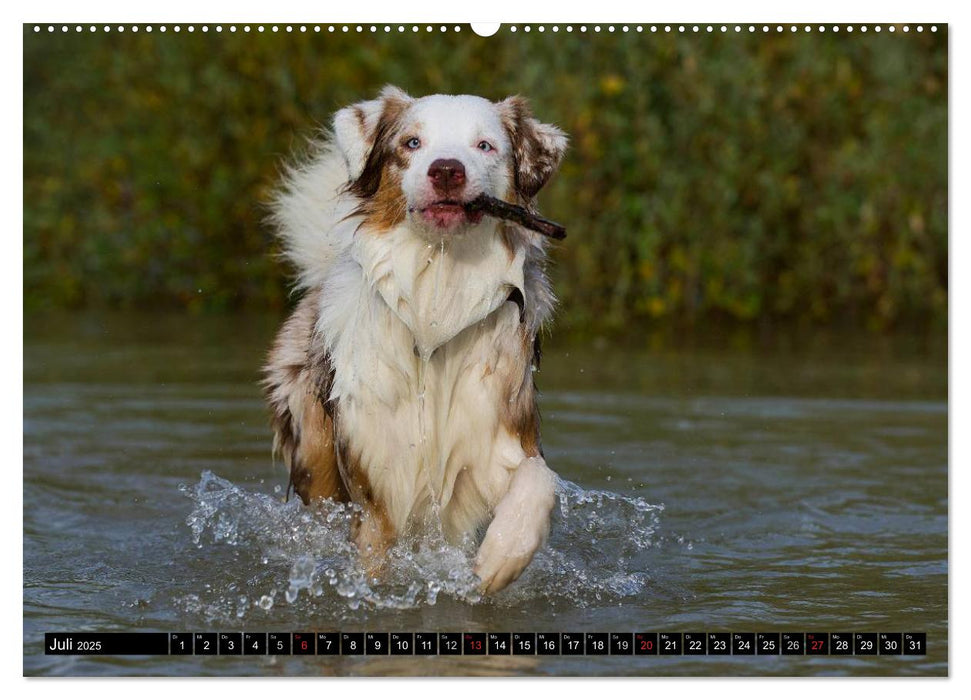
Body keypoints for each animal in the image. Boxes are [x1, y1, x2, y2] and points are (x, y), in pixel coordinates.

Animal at [264, 85, 568, 592]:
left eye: (485, 146)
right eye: (411, 143)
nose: (446, 169)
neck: (436, 295)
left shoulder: (502, 425)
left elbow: (540, 480)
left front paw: (501, 557)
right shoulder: (377, 476)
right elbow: (374, 555)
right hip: (315, 452)